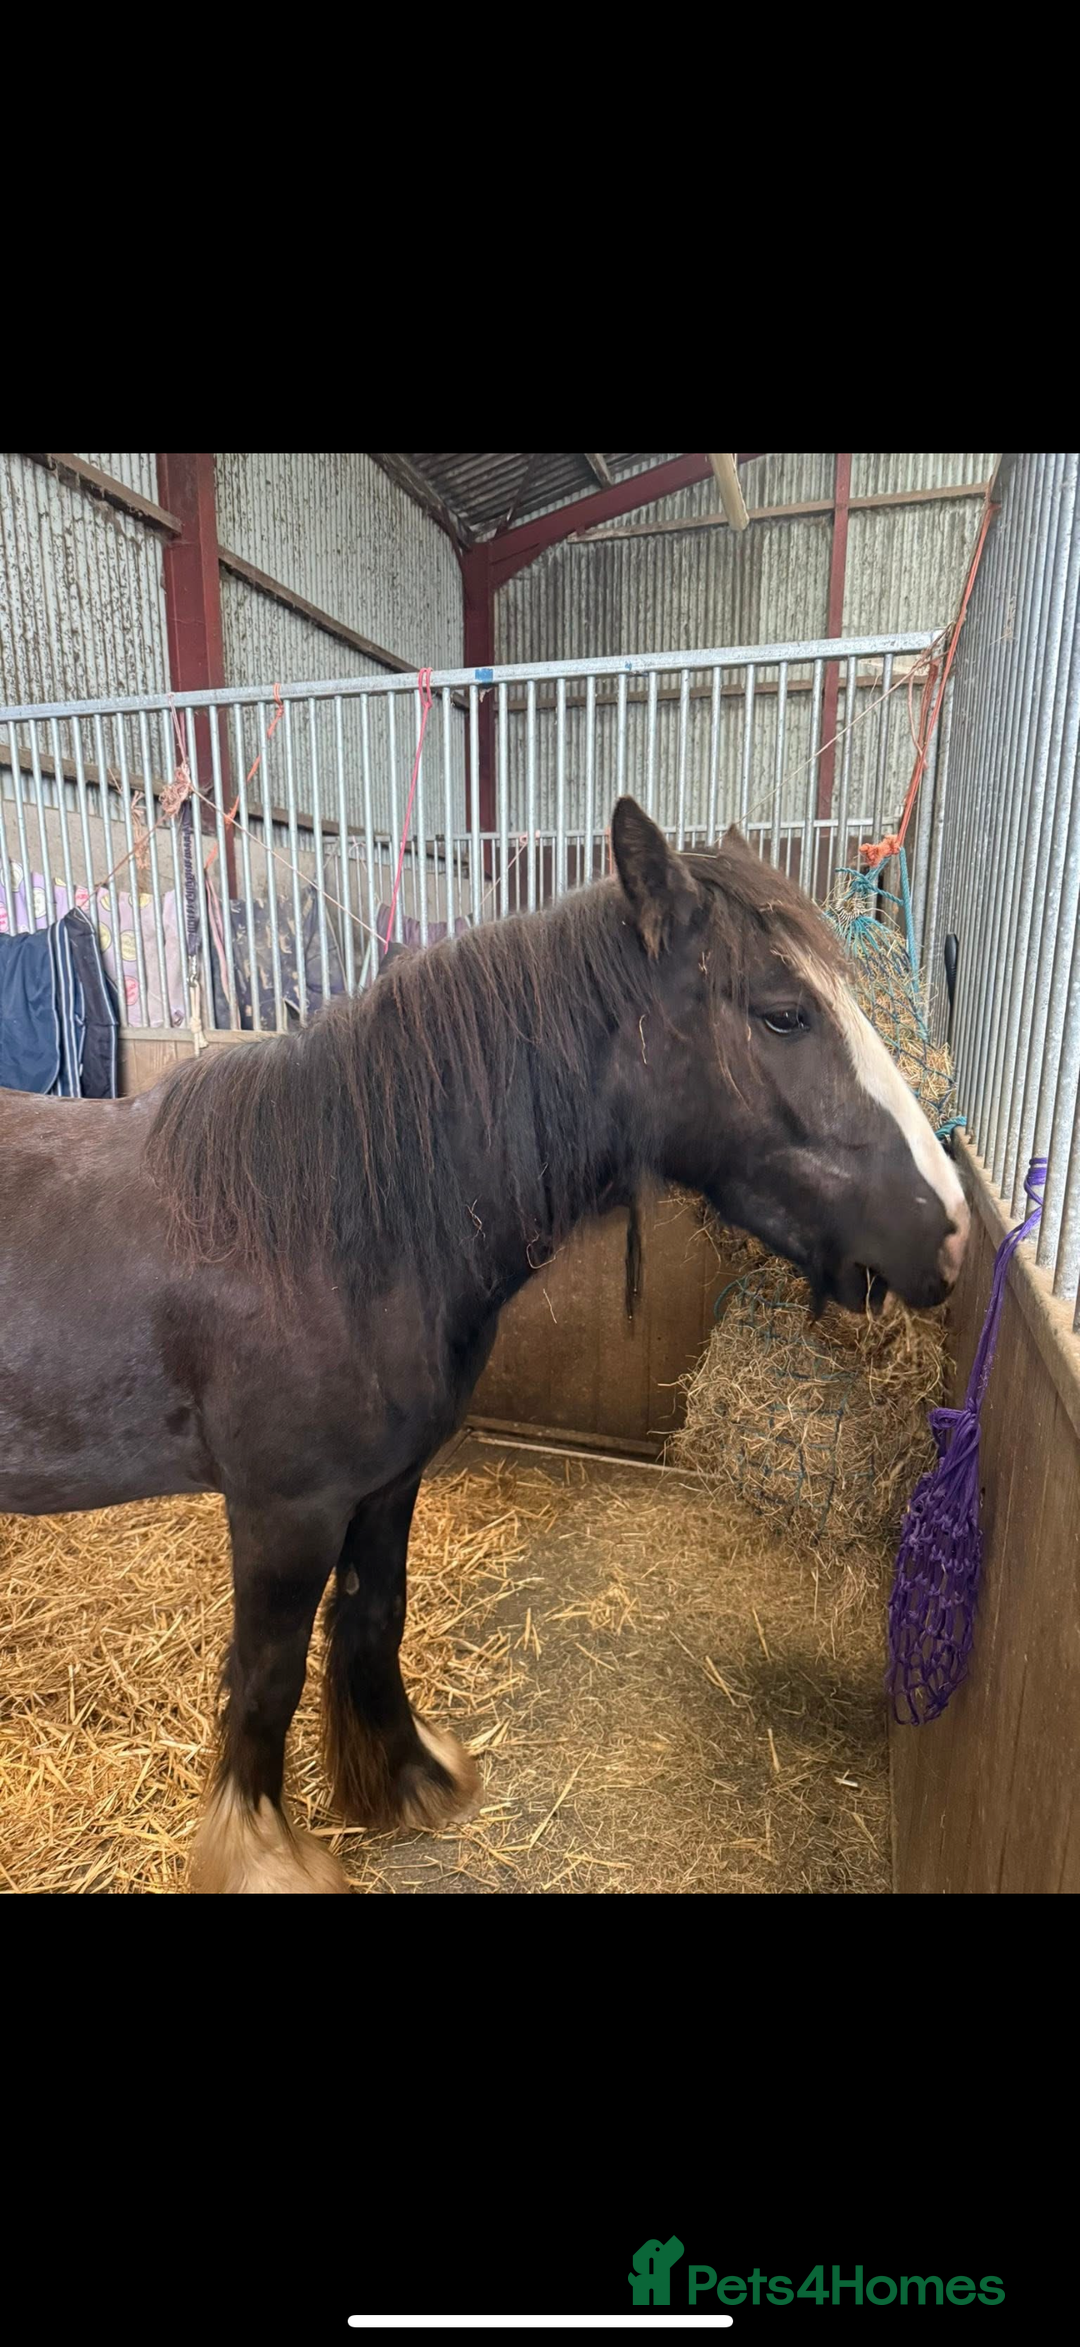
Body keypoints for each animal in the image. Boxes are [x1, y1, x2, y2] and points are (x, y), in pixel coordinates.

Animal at [0, 800, 968, 1893]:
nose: (948, 1230)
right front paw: (261, 1853)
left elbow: (375, 1615)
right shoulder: (283, 1511)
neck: (327, 1225)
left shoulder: (385, 1485)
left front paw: (405, 1779)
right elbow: (266, 1671)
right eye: (783, 1014)